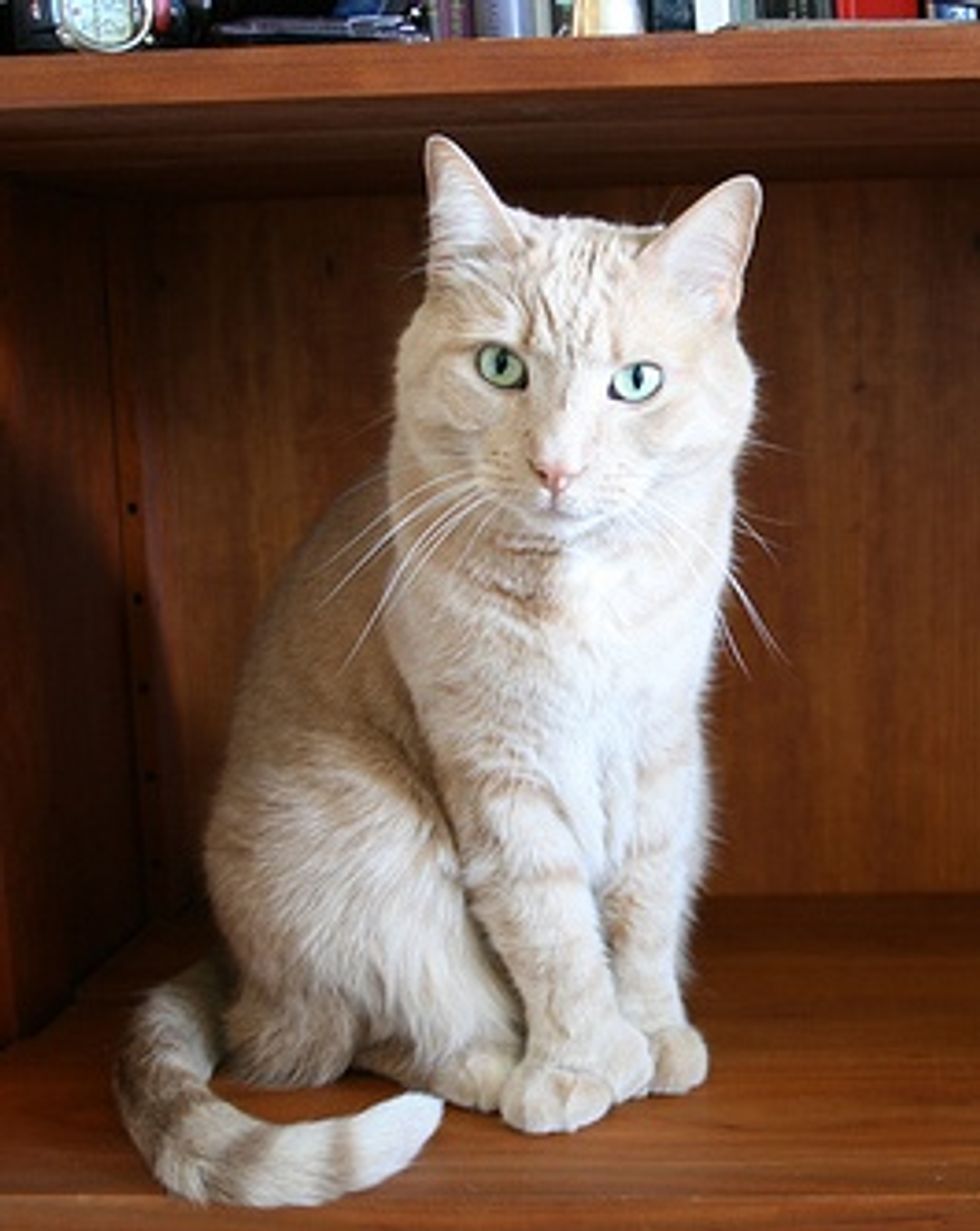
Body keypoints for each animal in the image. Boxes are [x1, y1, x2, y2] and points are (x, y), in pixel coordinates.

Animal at [112, 132, 758, 1201]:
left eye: (636, 382)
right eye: (501, 367)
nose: (556, 467)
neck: (583, 594)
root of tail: (237, 973)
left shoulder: (664, 753)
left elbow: (642, 910)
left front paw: (653, 1031)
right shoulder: (498, 769)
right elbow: (552, 929)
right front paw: (587, 1059)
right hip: (368, 840)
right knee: (350, 1039)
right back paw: (493, 1070)